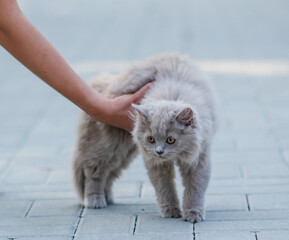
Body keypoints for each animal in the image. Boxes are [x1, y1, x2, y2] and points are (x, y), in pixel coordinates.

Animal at [72, 53, 216, 222]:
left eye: (170, 140)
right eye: (151, 139)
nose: (159, 151)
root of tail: (103, 86)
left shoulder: (198, 159)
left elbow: (195, 189)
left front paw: (193, 213)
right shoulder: (155, 163)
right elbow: (165, 188)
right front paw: (170, 210)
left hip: (124, 153)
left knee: (109, 173)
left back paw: (107, 197)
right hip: (111, 146)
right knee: (94, 170)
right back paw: (95, 199)